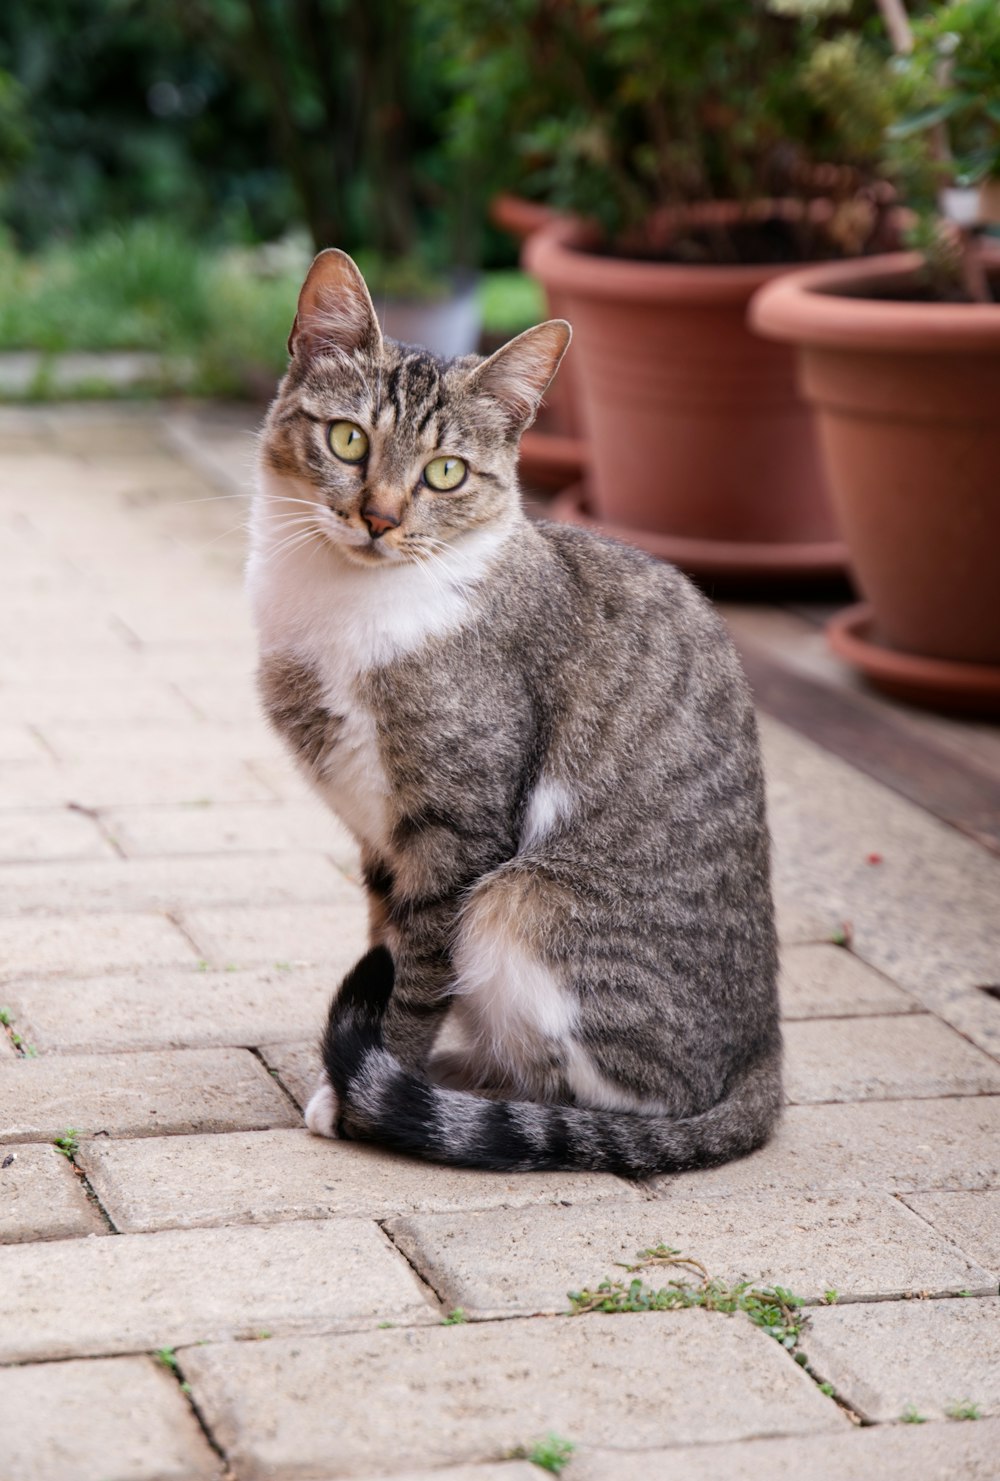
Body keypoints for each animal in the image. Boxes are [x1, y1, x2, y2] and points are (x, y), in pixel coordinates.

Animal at [250, 248, 782, 1172]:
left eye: (446, 472)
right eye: (348, 438)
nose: (379, 516)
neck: (346, 607)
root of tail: (765, 1056)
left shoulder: (456, 830)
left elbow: (415, 977)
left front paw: (360, 1091)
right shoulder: (378, 836)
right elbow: (387, 943)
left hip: (524, 902)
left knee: (611, 1100)